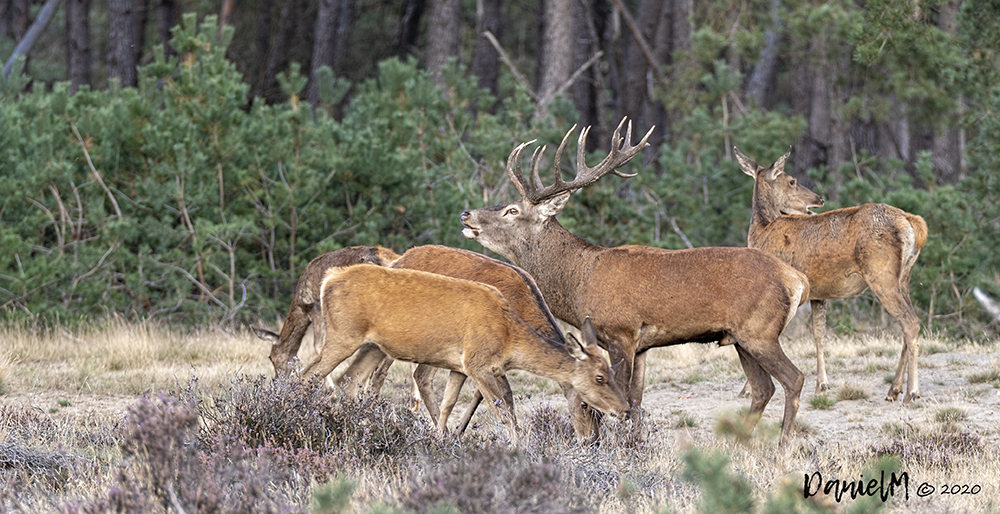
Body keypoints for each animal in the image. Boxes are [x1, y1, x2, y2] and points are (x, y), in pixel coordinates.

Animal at [306, 262, 632, 442]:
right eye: (600, 377)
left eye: (612, 370)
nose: (625, 410)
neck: (508, 336)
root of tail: (329, 279)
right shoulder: (477, 362)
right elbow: (503, 413)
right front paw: (520, 450)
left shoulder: (459, 366)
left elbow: (449, 403)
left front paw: (442, 440)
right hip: (343, 334)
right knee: (308, 373)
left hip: (373, 345)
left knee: (349, 381)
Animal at [460, 118, 812, 442]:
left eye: (511, 211)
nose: (467, 214)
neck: (578, 283)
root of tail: (797, 279)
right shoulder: (642, 345)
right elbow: (637, 401)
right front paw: (636, 444)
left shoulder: (622, 332)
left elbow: (624, 399)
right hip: (740, 337)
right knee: (763, 388)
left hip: (759, 330)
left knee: (793, 379)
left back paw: (782, 445)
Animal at [732, 146, 924, 402]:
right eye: (792, 181)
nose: (819, 199)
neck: (760, 232)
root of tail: (912, 222)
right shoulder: (817, 293)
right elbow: (819, 333)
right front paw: (822, 384)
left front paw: (746, 389)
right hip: (904, 277)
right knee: (908, 323)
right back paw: (893, 389)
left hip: (880, 273)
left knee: (910, 322)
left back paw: (911, 392)